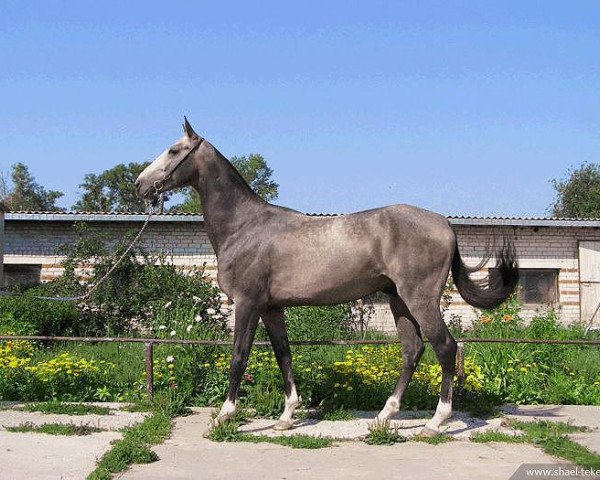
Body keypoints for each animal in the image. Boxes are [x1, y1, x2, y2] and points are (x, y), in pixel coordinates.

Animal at [135, 117, 516, 436]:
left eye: (173, 150)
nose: (140, 185)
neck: (244, 227)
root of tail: (444, 224)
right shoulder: (271, 308)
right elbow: (283, 354)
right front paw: (286, 417)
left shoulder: (247, 304)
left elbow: (239, 355)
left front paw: (223, 416)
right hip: (399, 301)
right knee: (413, 350)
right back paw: (384, 416)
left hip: (419, 299)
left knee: (445, 348)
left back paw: (436, 423)